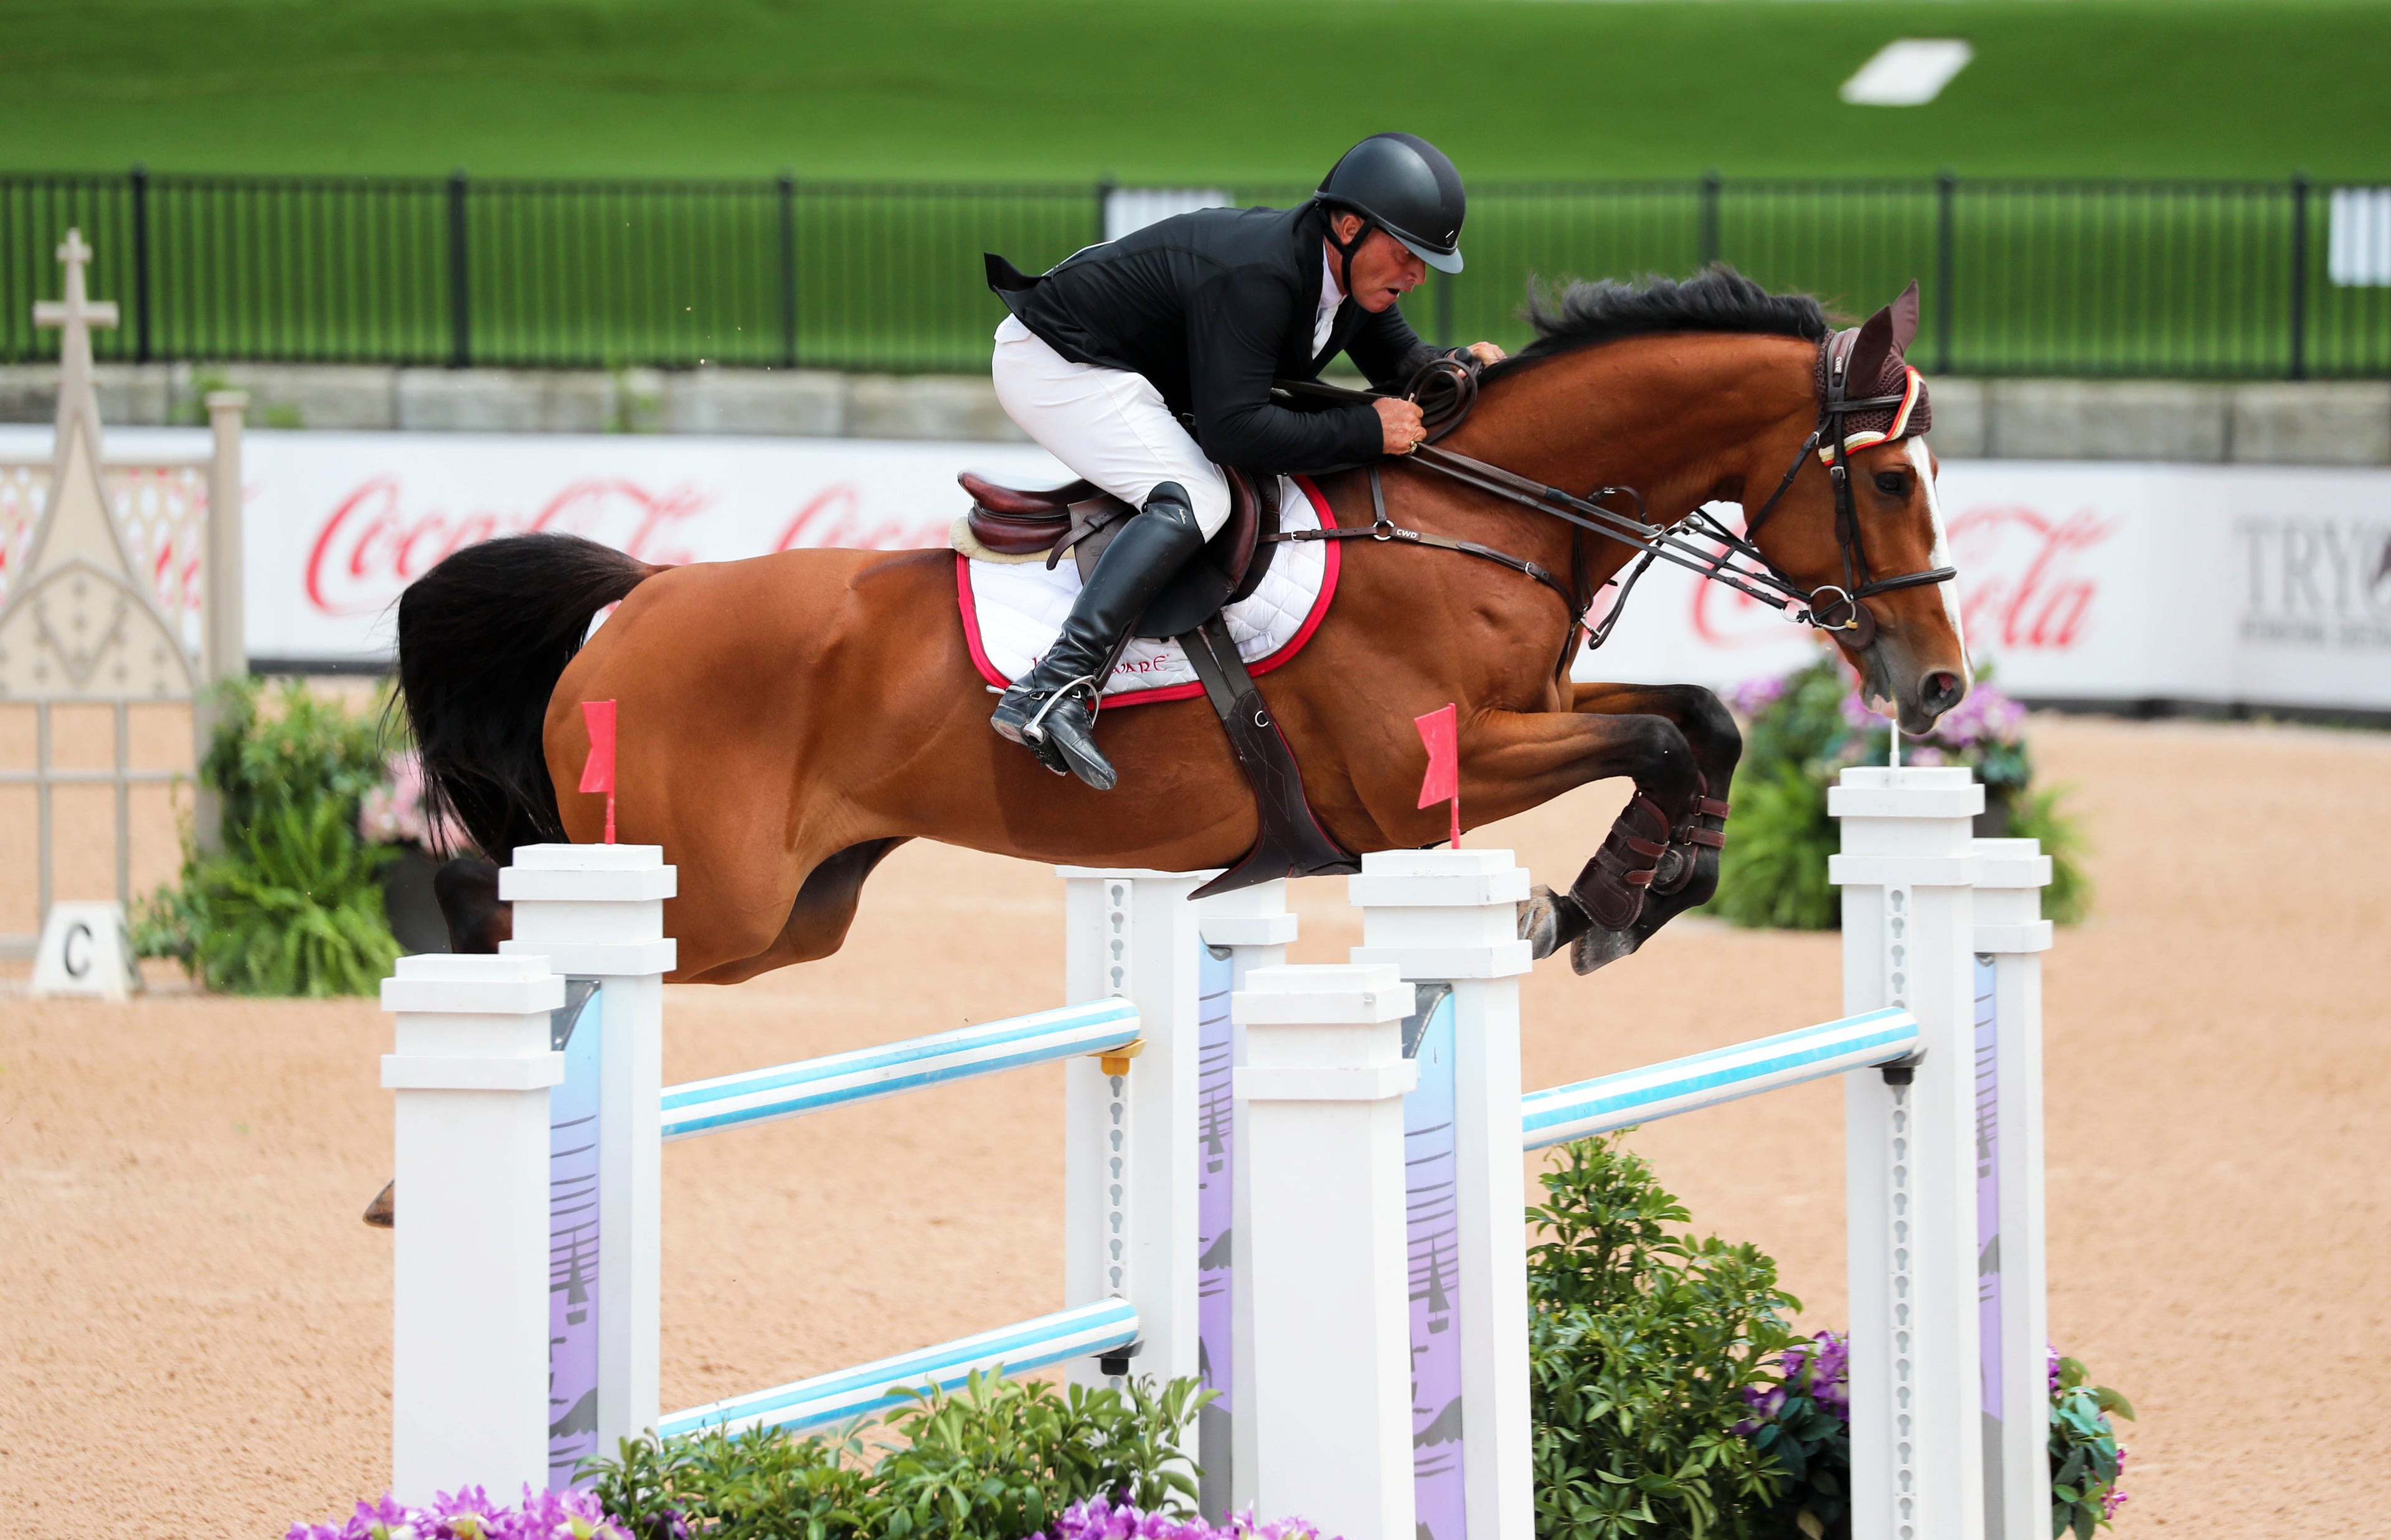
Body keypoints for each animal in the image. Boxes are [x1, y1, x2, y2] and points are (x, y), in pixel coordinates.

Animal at [397, 268, 1968, 983]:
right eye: (1890, 480)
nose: (1941, 687)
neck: (1477, 513)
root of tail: (631, 602)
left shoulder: (1522, 711)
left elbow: (1692, 721)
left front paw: (1623, 893)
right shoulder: (1425, 774)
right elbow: (1657, 731)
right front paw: (1588, 903)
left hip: (792, 913)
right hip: (700, 898)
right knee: (500, 910)